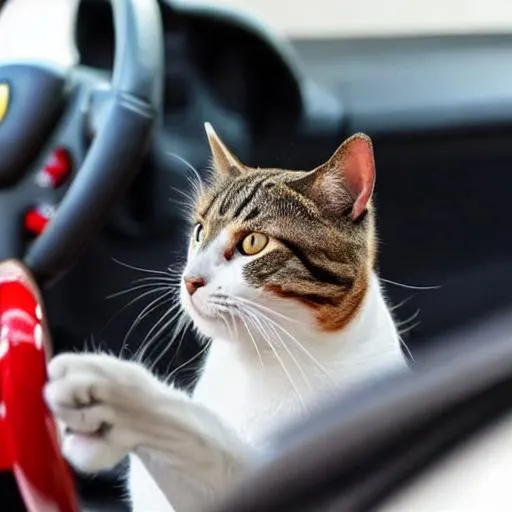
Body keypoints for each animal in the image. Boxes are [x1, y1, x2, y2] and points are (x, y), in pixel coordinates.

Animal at [46, 125, 410, 512]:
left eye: (253, 243)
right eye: (198, 232)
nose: (190, 280)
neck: (257, 361)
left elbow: (210, 448)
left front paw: (122, 396)